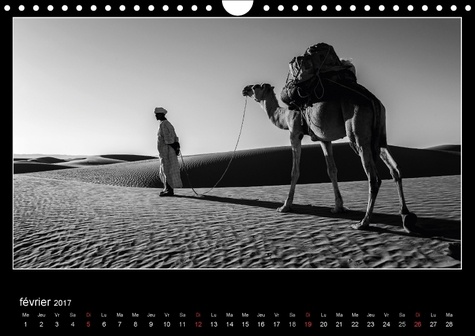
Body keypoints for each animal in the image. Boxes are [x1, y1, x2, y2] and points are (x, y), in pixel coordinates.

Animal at [244, 81, 418, 231]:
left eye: (256, 86)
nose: (244, 89)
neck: (284, 116)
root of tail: (373, 100)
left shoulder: (295, 133)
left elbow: (295, 171)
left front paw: (285, 206)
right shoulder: (324, 139)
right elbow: (332, 170)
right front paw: (338, 207)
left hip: (359, 135)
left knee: (374, 178)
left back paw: (363, 222)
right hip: (380, 136)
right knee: (395, 169)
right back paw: (405, 215)